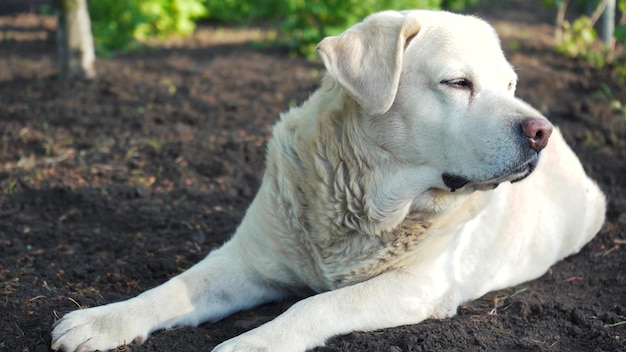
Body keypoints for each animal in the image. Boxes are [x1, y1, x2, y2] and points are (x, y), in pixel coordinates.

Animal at [51, 9, 604, 350]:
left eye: (509, 85)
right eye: (457, 83)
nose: (540, 132)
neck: (364, 198)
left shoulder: (417, 285)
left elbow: (316, 304)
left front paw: (253, 342)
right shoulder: (249, 259)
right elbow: (173, 288)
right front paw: (101, 320)